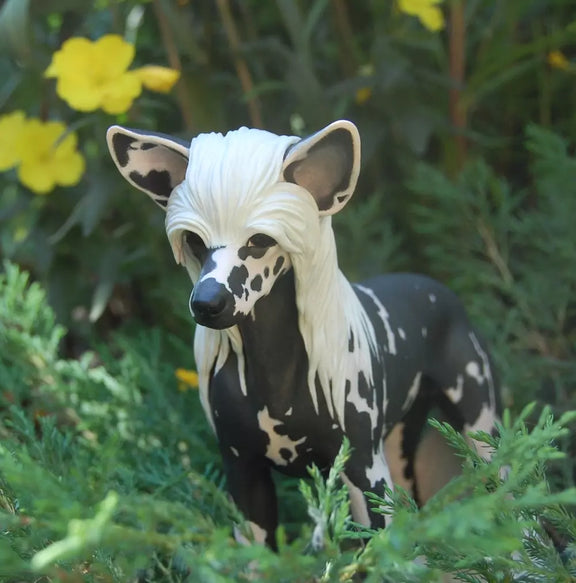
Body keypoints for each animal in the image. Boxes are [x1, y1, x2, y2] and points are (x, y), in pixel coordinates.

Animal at [107, 121, 500, 548]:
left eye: (260, 240)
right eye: (195, 241)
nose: (207, 303)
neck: (274, 369)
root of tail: (436, 288)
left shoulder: (363, 469)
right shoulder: (244, 473)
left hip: (479, 428)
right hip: (398, 445)